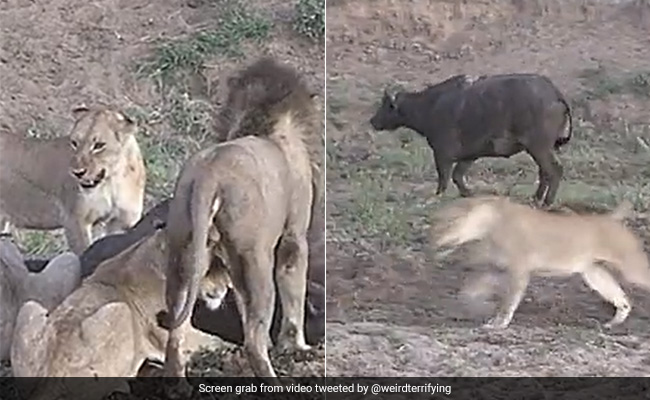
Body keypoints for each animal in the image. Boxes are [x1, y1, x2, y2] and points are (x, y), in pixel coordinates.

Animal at [0, 105, 146, 255]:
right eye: (74, 143)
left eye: (99, 145)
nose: (77, 173)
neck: (112, 182)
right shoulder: (76, 221)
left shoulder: (121, 223)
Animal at [10, 228, 227, 400]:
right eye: (211, 264)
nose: (223, 289)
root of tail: (48, 376)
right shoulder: (174, 333)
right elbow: (211, 341)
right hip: (121, 310)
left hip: (29, 307)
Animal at [156, 57, 323, 381]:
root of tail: (208, 176)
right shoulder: (294, 236)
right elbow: (293, 293)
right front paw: (296, 346)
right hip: (256, 259)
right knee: (252, 344)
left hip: (182, 257)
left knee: (175, 337)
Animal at [369, 73, 573, 206]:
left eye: (386, 106)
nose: (373, 121)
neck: (431, 105)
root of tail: (555, 93)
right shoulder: (469, 155)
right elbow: (458, 176)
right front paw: (469, 193)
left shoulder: (442, 153)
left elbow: (444, 178)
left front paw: (437, 197)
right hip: (539, 149)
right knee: (544, 172)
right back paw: (536, 198)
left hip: (539, 147)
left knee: (554, 169)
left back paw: (546, 201)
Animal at [430, 196, 650, 329]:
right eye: (436, 222)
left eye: (449, 222)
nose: (433, 238)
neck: (491, 222)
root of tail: (612, 218)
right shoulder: (498, 268)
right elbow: (473, 288)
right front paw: (470, 304)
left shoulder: (519, 270)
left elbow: (509, 301)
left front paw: (499, 323)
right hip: (594, 273)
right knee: (623, 301)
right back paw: (612, 324)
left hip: (631, 269)